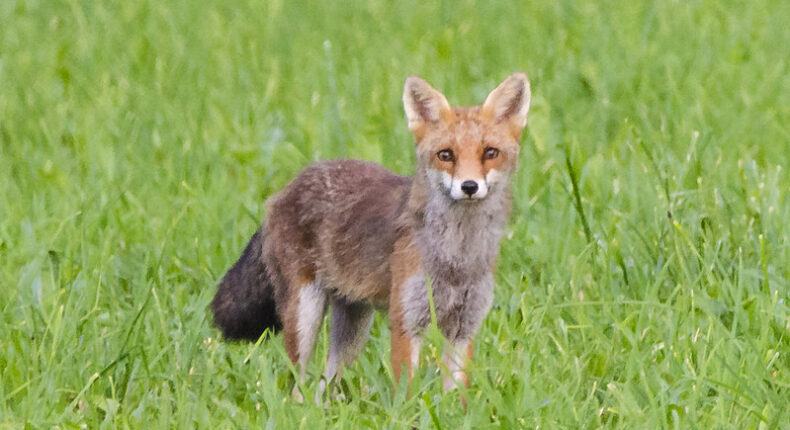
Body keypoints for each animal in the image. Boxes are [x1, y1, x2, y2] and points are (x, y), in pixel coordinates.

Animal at [210, 73, 532, 400]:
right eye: (446, 155)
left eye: (490, 153)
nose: (469, 186)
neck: (456, 260)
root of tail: (285, 188)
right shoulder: (406, 321)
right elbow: (406, 396)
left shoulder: (464, 326)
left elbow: (457, 398)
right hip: (305, 317)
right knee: (297, 389)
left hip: (353, 330)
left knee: (323, 387)